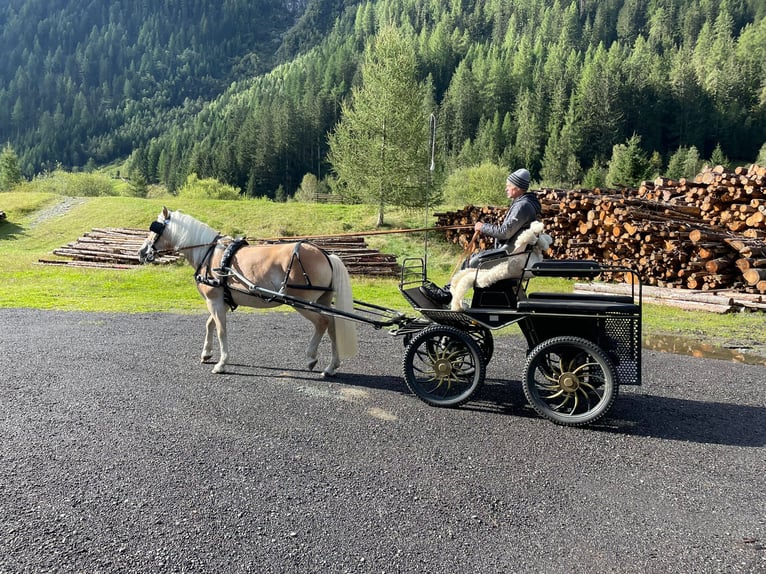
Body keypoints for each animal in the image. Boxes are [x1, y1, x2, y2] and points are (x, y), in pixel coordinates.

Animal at [138, 207, 360, 378]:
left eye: (155, 228)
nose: (142, 252)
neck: (211, 255)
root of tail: (327, 255)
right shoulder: (222, 300)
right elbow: (210, 324)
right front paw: (206, 353)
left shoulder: (214, 300)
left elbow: (221, 329)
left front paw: (222, 363)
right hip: (322, 300)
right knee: (332, 326)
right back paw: (331, 367)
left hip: (302, 302)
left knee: (323, 322)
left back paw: (311, 357)